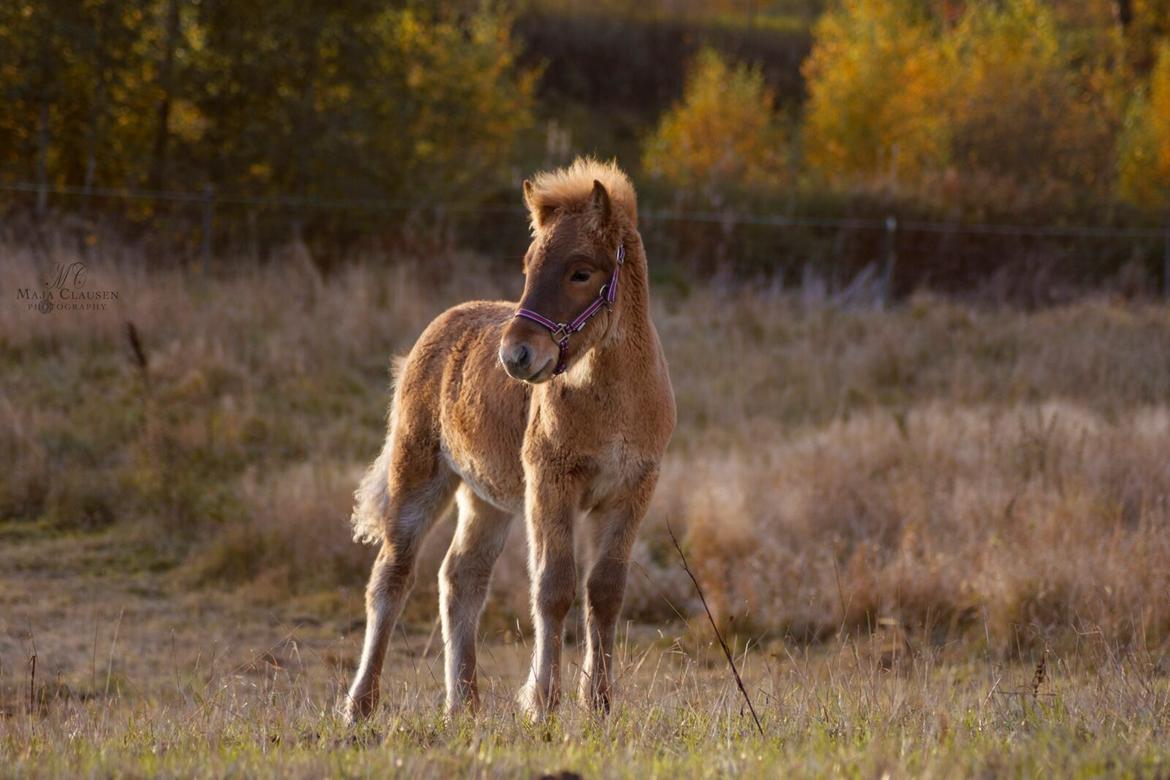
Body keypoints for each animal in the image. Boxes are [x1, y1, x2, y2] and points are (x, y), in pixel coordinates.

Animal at [341, 159, 673, 725]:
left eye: (580, 271)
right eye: (528, 266)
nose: (516, 355)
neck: (615, 400)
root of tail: (438, 327)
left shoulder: (633, 489)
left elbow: (605, 590)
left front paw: (599, 704)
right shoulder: (551, 482)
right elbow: (554, 585)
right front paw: (542, 703)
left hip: (487, 499)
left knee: (461, 579)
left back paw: (464, 705)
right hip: (420, 476)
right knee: (392, 578)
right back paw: (361, 705)